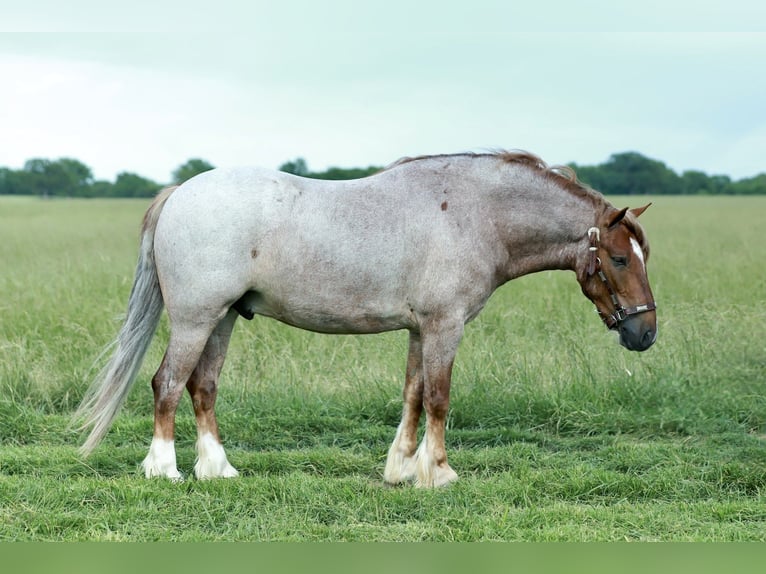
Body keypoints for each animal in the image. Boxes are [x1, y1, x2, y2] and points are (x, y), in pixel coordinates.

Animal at [74, 151, 656, 487]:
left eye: (642, 255)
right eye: (619, 259)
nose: (645, 332)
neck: (477, 214)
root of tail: (181, 192)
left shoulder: (421, 329)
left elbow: (413, 394)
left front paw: (402, 469)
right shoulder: (445, 326)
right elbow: (439, 397)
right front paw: (439, 472)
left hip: (222, 320)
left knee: (202, 387)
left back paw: (217, 469)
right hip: (196, 319)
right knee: (167, 383)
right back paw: (163, 470)